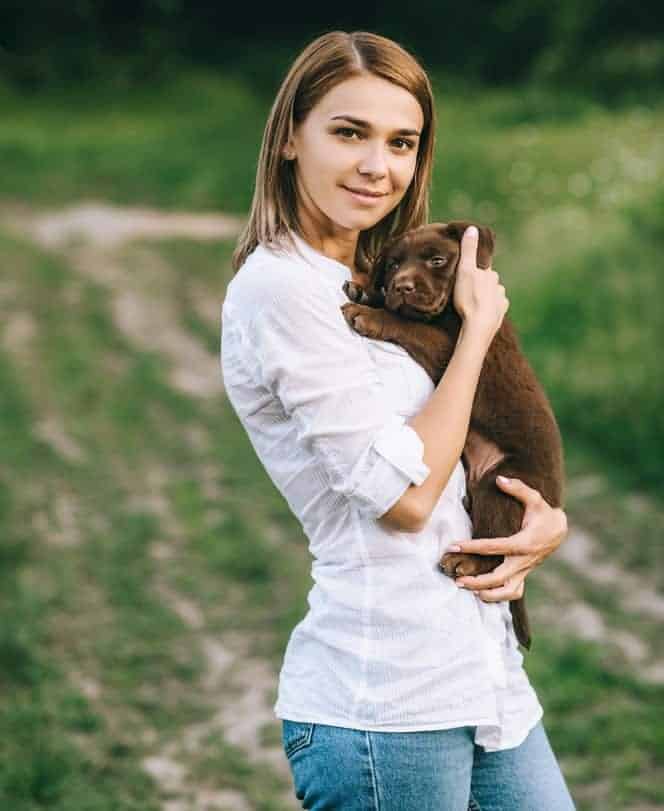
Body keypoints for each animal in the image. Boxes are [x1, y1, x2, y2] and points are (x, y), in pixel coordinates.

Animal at [342, 222, 564, 652]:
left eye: (436, 260)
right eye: (392, 264)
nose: (402, 286)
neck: (450, 315)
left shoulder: (452, 349)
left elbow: (412, 326)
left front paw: (367, 311)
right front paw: (364, 290)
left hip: (503, 482)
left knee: (496, 549)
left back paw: (466, 561)